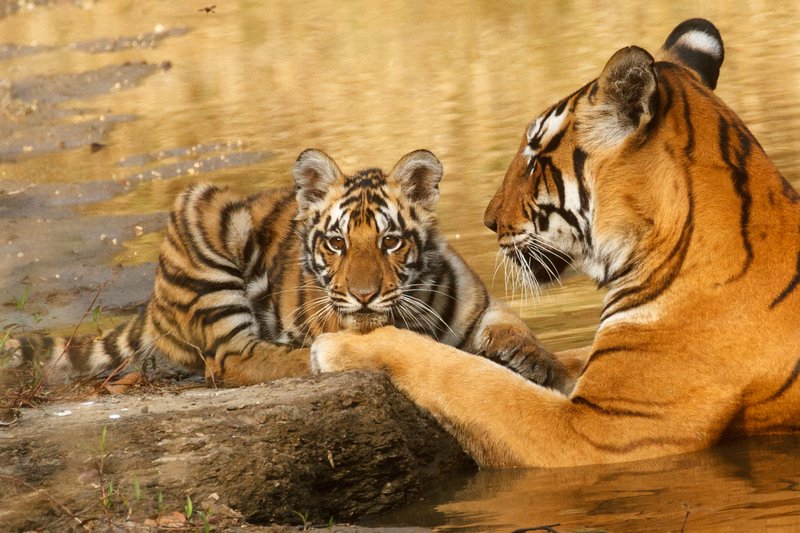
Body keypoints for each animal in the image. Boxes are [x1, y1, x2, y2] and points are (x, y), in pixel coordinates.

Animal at [2, 149, 570, 389]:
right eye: (337, 243)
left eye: (390, 241)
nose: (364, 295)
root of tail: (154, 301)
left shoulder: (482, 306)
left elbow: (517, 327)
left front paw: (536, 361)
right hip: (205, 212)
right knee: (235, 359)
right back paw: (313, 357)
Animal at [309, 18, 800, 467]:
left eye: (533, 158)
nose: (489, 220)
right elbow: (561, 357)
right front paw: (520, 352)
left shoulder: (599, 430)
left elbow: (463, 376)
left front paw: (347, 346)